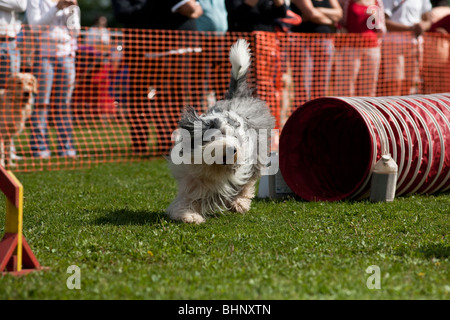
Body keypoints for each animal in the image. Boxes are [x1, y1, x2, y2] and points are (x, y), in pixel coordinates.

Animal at [167, 38, 276, 224]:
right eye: (216, 135)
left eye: (236, 137)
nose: (233, 149)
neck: (214, 168)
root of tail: (235, 97)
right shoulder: (192, 177)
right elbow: (188, 197)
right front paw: (188, 215)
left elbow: (243, 184)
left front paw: (238, 204)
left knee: (249, 181)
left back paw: (240, 203)